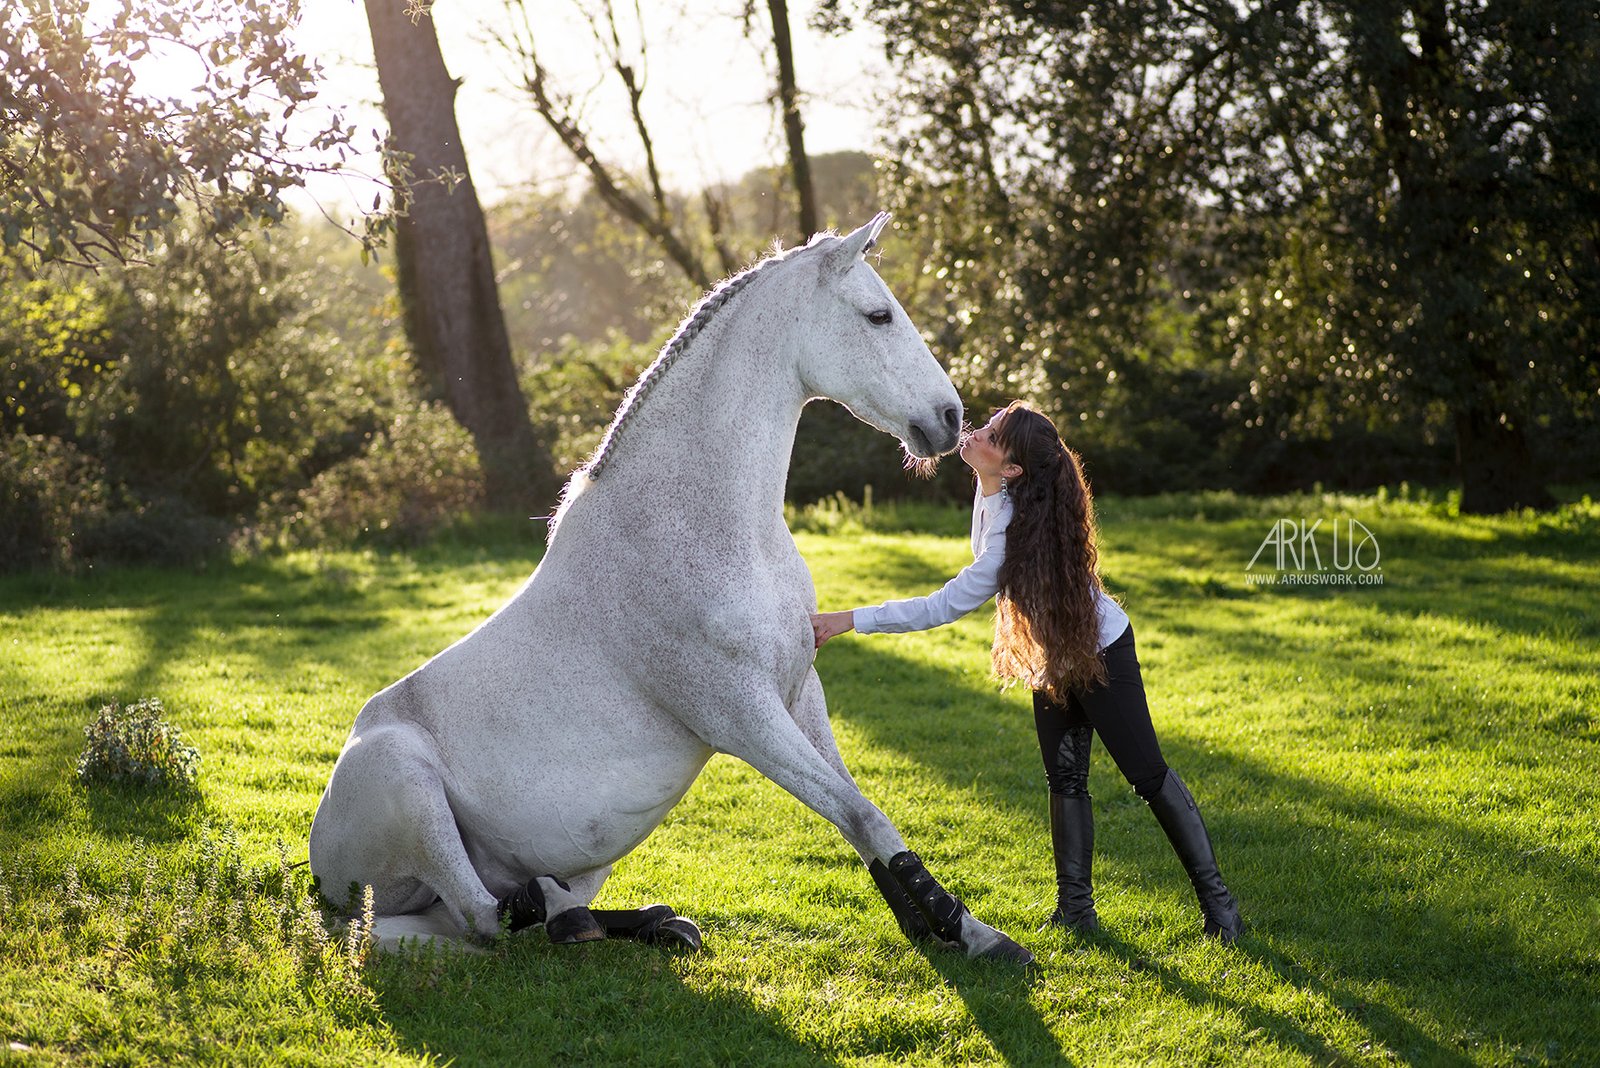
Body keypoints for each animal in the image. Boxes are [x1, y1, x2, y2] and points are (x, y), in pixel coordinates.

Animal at [308, 213, 1034, 964]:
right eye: (878, 315)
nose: (949, 419)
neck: (703, 524)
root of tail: (320, 877)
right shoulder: (740, 715)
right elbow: (861, 813)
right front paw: (965, 932)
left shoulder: (798, 693)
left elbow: (859, 813)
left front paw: (962, 929)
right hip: (404, 779)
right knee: (482, 919)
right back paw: (563, 914)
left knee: (479, 921)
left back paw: (649, 921)